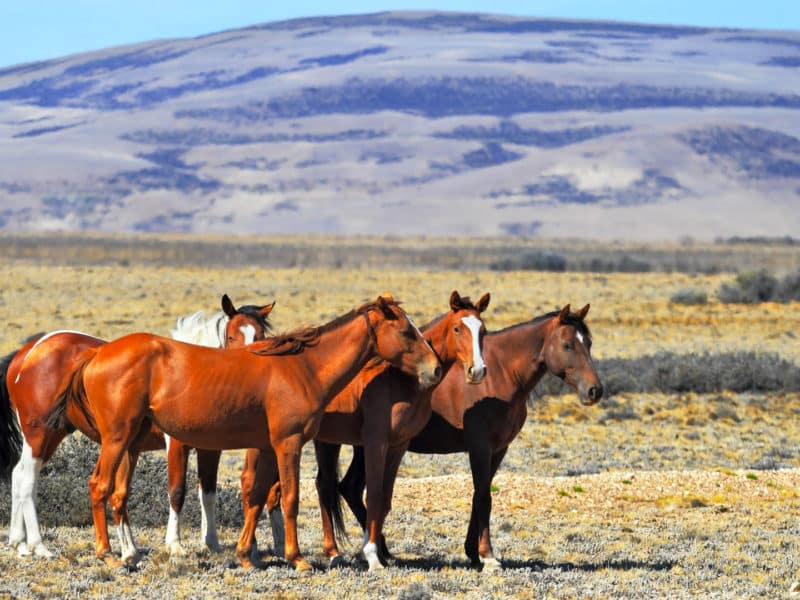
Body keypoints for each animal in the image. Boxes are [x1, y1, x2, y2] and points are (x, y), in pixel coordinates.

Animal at [0, 294, 273, 559]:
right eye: (232, 336)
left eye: (261, 336)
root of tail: (27, 354)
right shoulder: (177, 446)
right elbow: (177, 492)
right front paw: (174, 544)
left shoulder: (209, 450)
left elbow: (208, 493)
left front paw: (212, 543)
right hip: (40, 435)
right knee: (27, 479)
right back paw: (39, 546)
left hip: (52, 435)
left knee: (19, 474)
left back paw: (20, 543)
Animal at [45, 295, 442, 570]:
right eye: (406, 331)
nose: (436, 369)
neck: (302, 368)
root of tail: (96, 355)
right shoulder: (288, 444)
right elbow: (290, 498)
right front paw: (296, 557)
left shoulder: (265, 448)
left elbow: (256, 496)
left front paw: (246, 555)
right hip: (116, 439)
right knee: (99, 486)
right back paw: (108, 554)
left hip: (130, 443)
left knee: (115, 493)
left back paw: (127, 553)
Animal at [240, 290, 490, 571]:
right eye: (458, 328)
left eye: (483, 331)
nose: (477, 371)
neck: (399, 381)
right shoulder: (374, 443)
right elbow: (374, 496)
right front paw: (372, 555)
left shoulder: (398, 446)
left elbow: (385, 500)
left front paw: (379, 553)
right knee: (251, 483)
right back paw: (254, 552)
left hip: (325, 442)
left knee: (321, 486)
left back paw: (332, 552)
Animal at [334, 304, 603, 570]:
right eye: (567, 345)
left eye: (589, 343)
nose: (595, 391)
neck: (501, 374)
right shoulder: (480, 447)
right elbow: (483, 497)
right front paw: (488, 555)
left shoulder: (498, 449)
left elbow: (480, 495)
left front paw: (473, 552)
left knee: (350, 488)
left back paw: (382, 551)